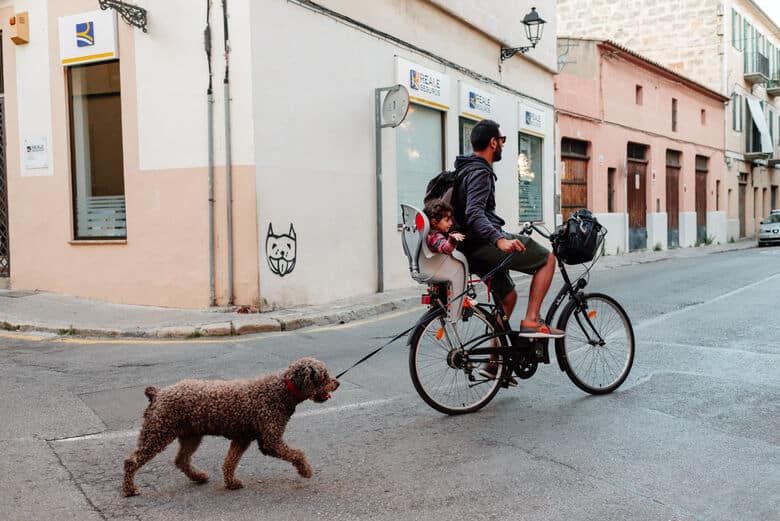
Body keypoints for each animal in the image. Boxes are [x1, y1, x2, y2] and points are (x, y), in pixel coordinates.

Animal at [122, 358, 338, 496]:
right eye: (324, 375)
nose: (337, 383)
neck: (281, 390)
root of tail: (157, 393)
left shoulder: (242, 439)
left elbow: (229, 462)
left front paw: (231, 482)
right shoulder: (270, 440)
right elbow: (297, 454)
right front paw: (305, 471)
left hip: (191, 435)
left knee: (181, 460)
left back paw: (199, 476)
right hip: (157, 432)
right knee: (131, 461)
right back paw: (130, 489)